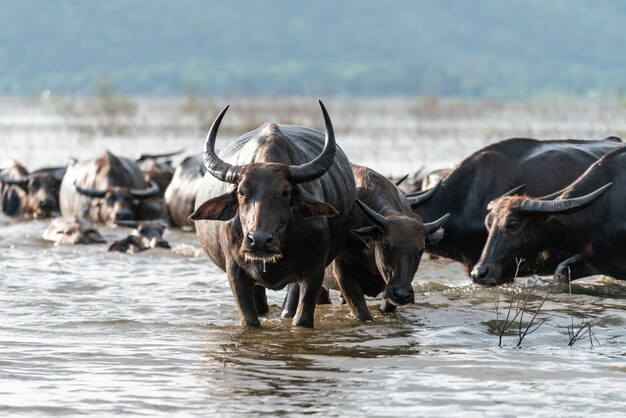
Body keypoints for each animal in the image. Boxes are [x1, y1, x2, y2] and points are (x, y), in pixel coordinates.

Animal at [189, 100, 356, 326]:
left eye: (285, 192)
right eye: (241, 192)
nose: (258, 240)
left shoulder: (314, 270)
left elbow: (301, 318)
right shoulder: (235, 272)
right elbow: (249, 320)